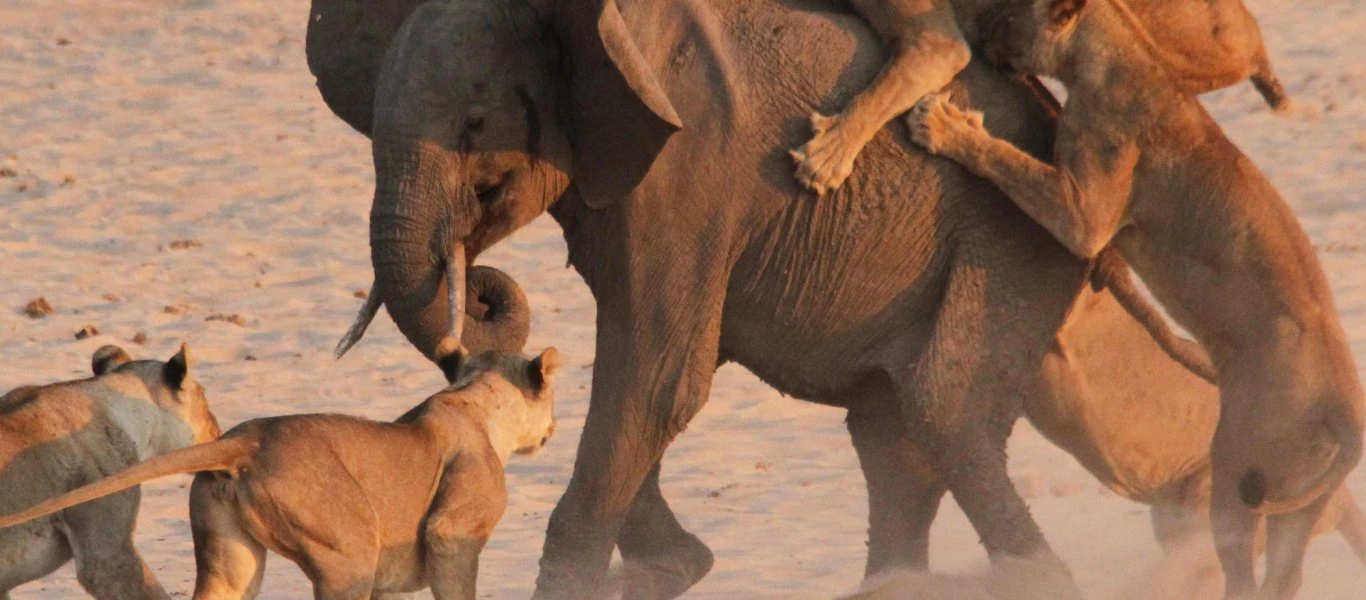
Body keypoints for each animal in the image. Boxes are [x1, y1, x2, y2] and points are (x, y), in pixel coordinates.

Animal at [907, 0, 1366, 595]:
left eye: (1008, 12)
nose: (977, 32)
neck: (1118, 52)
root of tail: (1348, 413)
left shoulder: (1084, 213)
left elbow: (1011, 163)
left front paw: (943, 126)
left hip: (1235, 473)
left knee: (1241, 572)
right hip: (1295, 503)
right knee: (1284, 578)